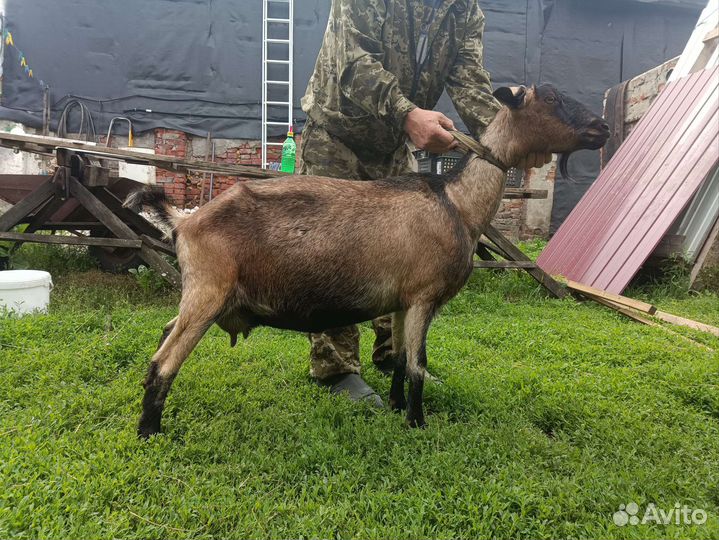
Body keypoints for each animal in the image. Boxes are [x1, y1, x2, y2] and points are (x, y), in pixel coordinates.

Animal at [128, 85, 609, 438]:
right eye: (551, 98)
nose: (602, 127)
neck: (457, 203)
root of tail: (184, 220)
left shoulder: (402, 301)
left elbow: (399, 358)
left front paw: (396, 407)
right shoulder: (423, 297)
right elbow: (417, 364)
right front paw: (417, 424)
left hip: (199, 297)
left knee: (163, 335)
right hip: (208, 294)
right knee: (164, 362)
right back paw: (150, 432)